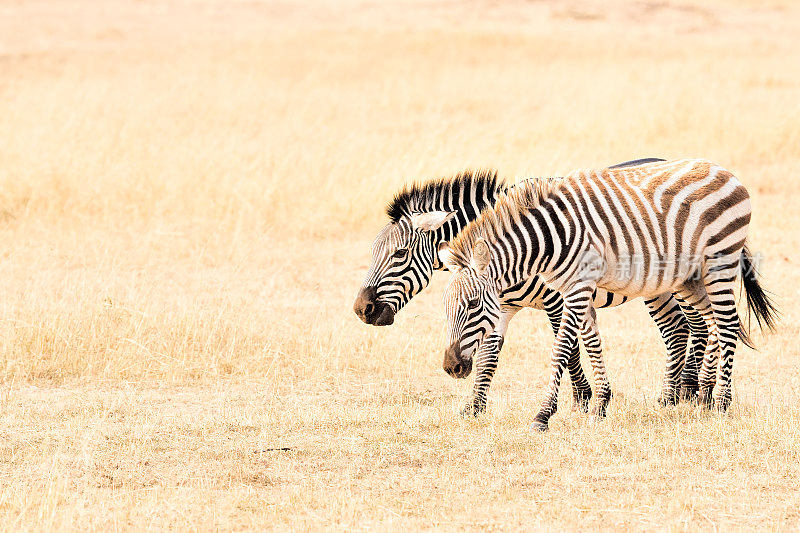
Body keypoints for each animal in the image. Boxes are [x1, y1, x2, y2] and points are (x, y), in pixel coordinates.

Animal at [356, 156, 708, 414]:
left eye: (400, 254)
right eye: (372, 252)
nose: (362, 309)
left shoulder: (557, 299)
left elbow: (570, 349)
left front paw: (582, 399)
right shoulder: (499, 305)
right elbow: (489, 354)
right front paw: (475, 408)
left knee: (688, 326)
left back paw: (684, 394)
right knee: (684, 327)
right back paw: (684, 392)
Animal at [438, 157, 776, 428]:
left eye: (472, 304)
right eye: (446, 308)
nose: (451, 367)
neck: (546, 243)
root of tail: (722, 169)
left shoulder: (573, 289)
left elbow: (562, 349)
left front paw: (544, 414)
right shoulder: (566, 291)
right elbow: (590, 343)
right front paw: (600, 404)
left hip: (718, 263)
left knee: (727, 324)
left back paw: (719, 402)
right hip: (690, 278)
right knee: (712, 324)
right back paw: (704, 396)